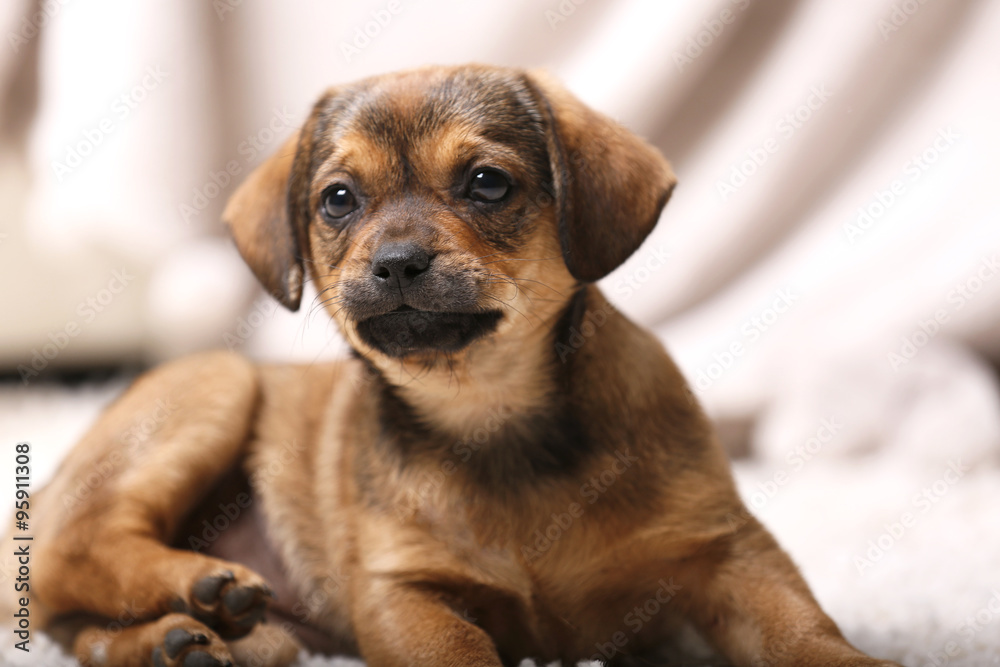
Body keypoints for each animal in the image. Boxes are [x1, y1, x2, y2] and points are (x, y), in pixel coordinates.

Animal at [7, 66, 900, 667]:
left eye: (486, 183)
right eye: (337, 199)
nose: (398, 261)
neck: (491, 412)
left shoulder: (728, 551)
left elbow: (803, 627)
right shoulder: (406, 593)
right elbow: (456, 651)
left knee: (74, 619)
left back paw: (180, 636)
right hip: (213, 387)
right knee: (70, 551)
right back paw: (199, 587)